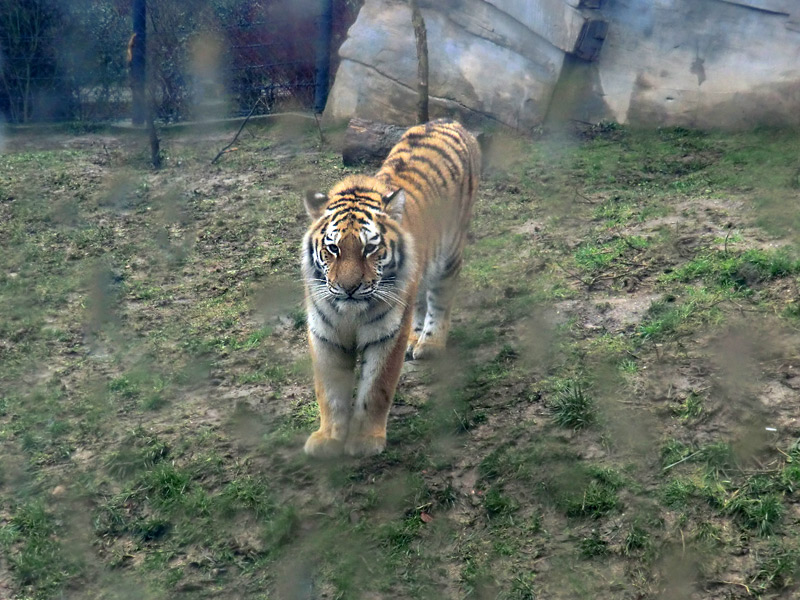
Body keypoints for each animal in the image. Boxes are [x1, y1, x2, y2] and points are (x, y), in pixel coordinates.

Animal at [302, 117, 482, 458]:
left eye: (370, 249)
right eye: (333, 248)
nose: (348, 288)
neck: (350, 311)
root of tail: (449, 120)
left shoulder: (387, 333)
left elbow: (376, 387)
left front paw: (365, 440)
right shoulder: (325, 333)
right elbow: (329, 392)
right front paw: (328, 438)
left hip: (450, 254)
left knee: (439, 302)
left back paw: (430, 344)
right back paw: (416, 337)